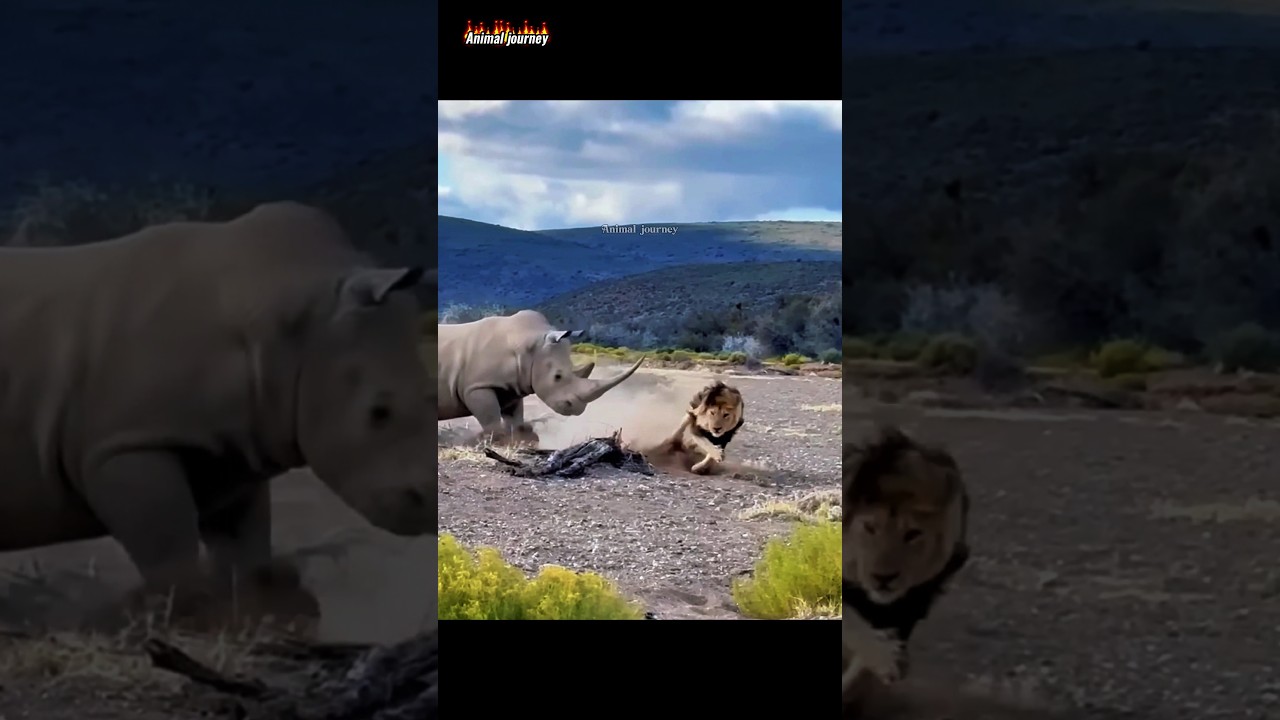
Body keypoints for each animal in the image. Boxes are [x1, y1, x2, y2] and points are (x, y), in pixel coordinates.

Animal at [0, 201, 436, 603]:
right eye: (378, 413)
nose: (427, 506)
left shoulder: (234, 445)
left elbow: (245, 542)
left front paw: (259, 594)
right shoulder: (122, 444)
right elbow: (169, 548)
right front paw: (184, 606)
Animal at [438, 309, 643, 441]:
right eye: (557, 376)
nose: (577, 409)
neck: (528, 347)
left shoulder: (510, 387)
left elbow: (515, 416)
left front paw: (523, 437)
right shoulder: (478, 386)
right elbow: (490, 418)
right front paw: (495, 441)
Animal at [842, 424, 971, 707]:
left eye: (913, 534)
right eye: (870, 527)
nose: (884, 578)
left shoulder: (910, 607)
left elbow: (859, 672)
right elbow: (851, 622)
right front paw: (885, 656)